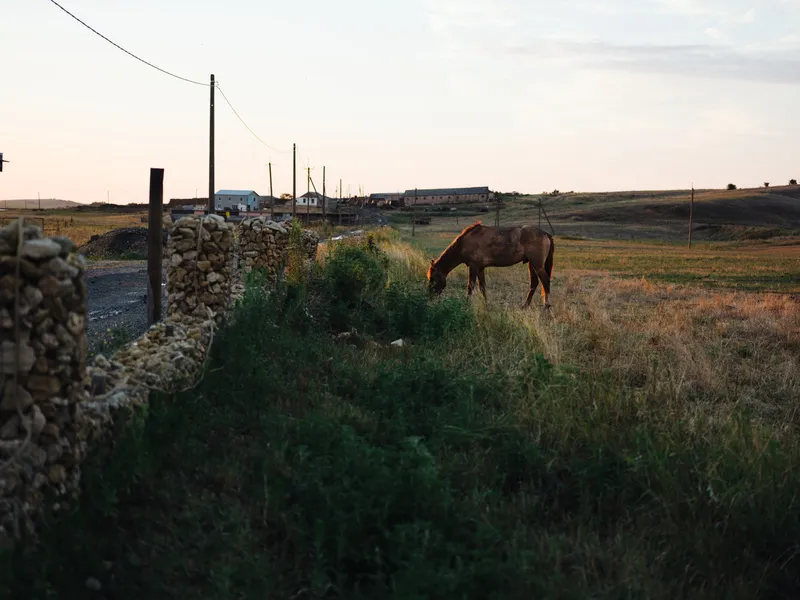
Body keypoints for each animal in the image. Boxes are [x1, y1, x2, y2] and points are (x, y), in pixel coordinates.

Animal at [426, 222, 554, 308]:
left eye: (432, 278)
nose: (429, 296)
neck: (464, 243)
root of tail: (545, 233)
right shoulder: (480, 268)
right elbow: (482, 287)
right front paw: (486, 304)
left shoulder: (473, 266)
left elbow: (470, 286)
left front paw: (467, 304)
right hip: (531, 264)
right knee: (534, 283)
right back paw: (525, 306)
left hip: (537, 265)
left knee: (545, 281)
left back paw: (546, 307)